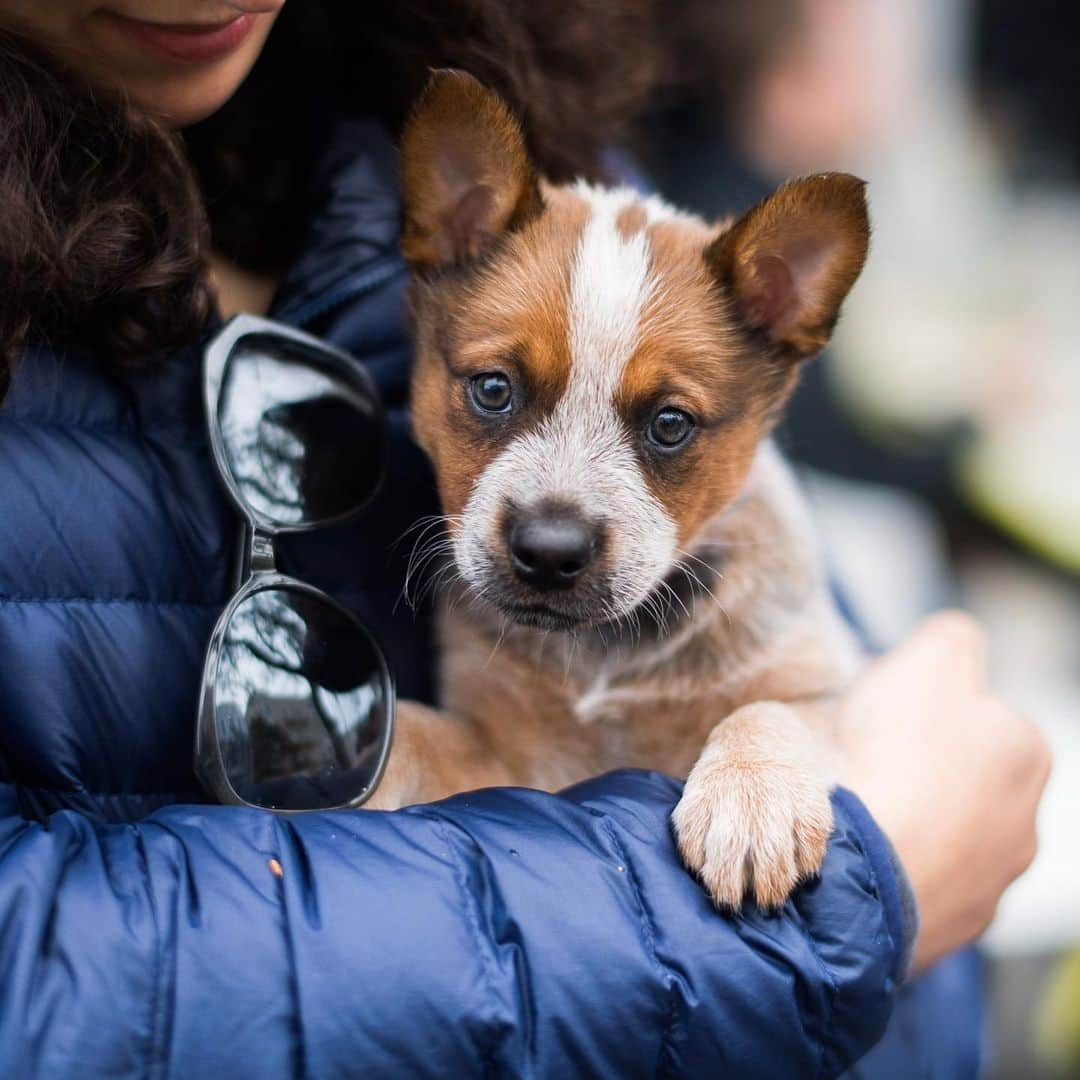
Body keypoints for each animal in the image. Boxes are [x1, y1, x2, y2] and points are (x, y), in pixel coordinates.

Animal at [371, 69, 868, 911]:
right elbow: (417, 731)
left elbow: (771, 708)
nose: (549, 552)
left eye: (669, 423)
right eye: (493, 388)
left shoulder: (843, 689)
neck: (603, 665)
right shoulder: (510, 760)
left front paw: (752, 797)